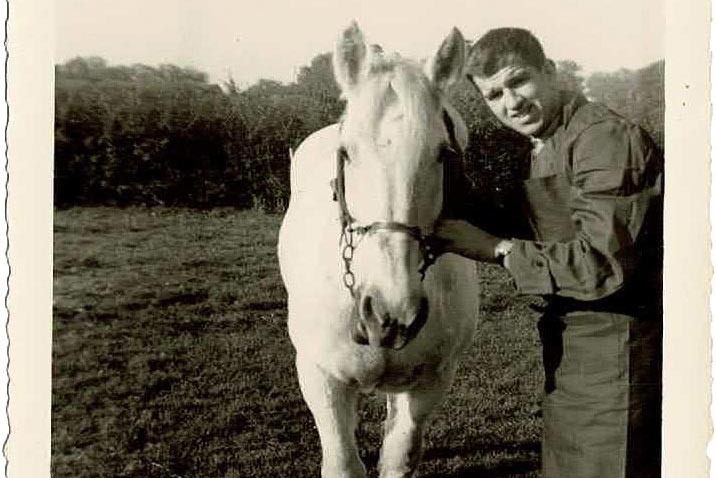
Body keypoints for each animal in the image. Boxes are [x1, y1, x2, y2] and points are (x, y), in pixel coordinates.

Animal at [276, 23, 478, 478]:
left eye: (443, 153)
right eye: (346, 152)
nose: (391, 312)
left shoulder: (431, 382)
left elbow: (399, 456)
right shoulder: (320, 379)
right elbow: (342, 464)